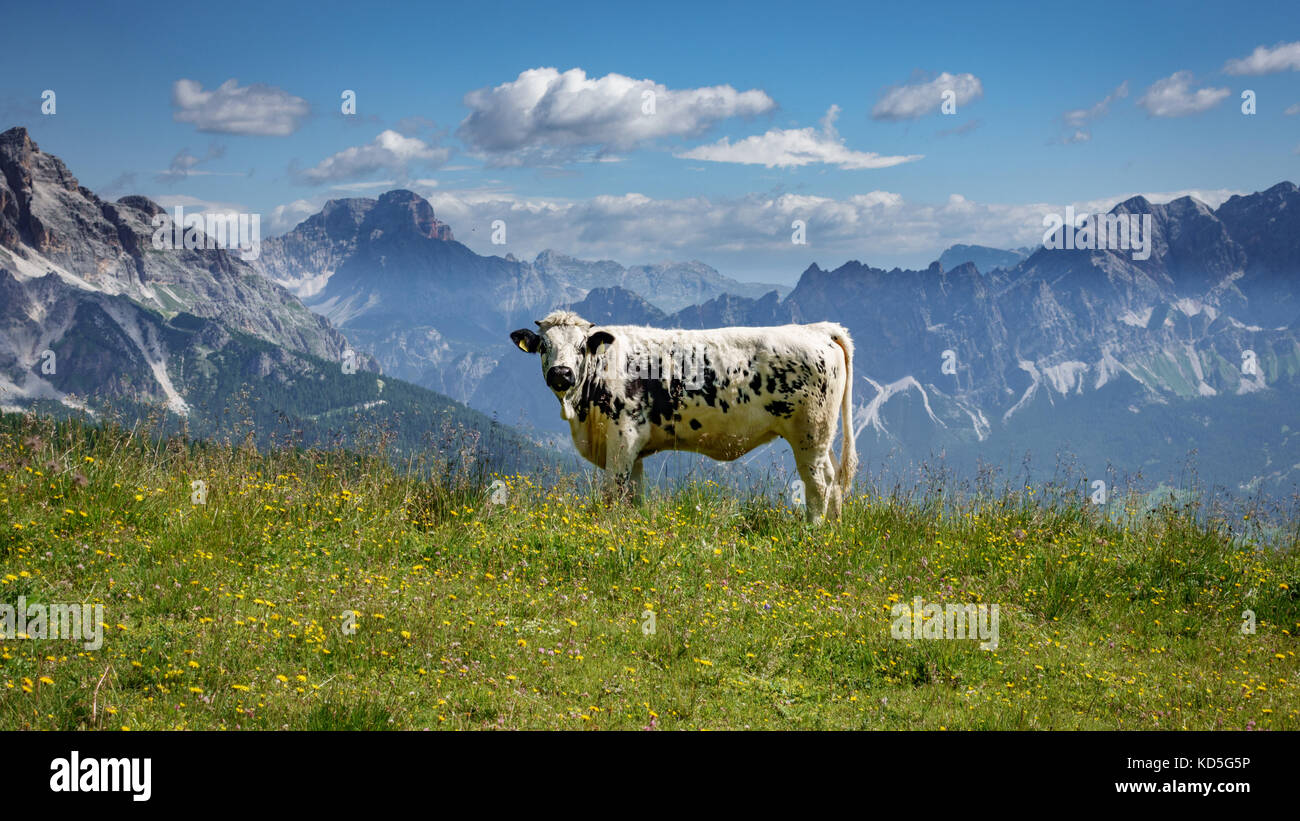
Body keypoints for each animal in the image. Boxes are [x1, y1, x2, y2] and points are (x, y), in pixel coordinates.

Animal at [512, 310, 857, 522]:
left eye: (582, 346)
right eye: (543, 346)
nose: (561, 374)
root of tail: (818, 329)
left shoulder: (623, 435)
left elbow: (613, 490)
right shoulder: (634, 447)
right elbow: (633, 493)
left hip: (809, 433)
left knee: (818, 482)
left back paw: (811, 531)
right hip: (821, 435)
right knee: (834, 478)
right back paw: (833, 528)